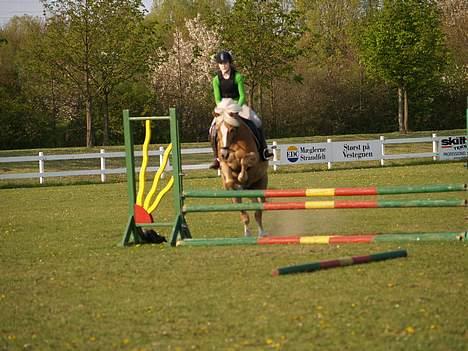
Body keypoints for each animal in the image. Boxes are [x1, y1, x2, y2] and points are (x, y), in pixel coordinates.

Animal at [214, 97, 268, 238]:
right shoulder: (223, 163)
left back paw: (262, 232)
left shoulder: (254, 158)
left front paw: (242, 177)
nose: (224, 153)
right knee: (246, 213)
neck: (234, 142)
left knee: (259, 208)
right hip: (245, 194)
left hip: (260, 184)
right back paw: (247, 233)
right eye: (218, 129)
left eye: (232, 129)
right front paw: (236, 184)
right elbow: (229, 181)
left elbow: (245, 160)